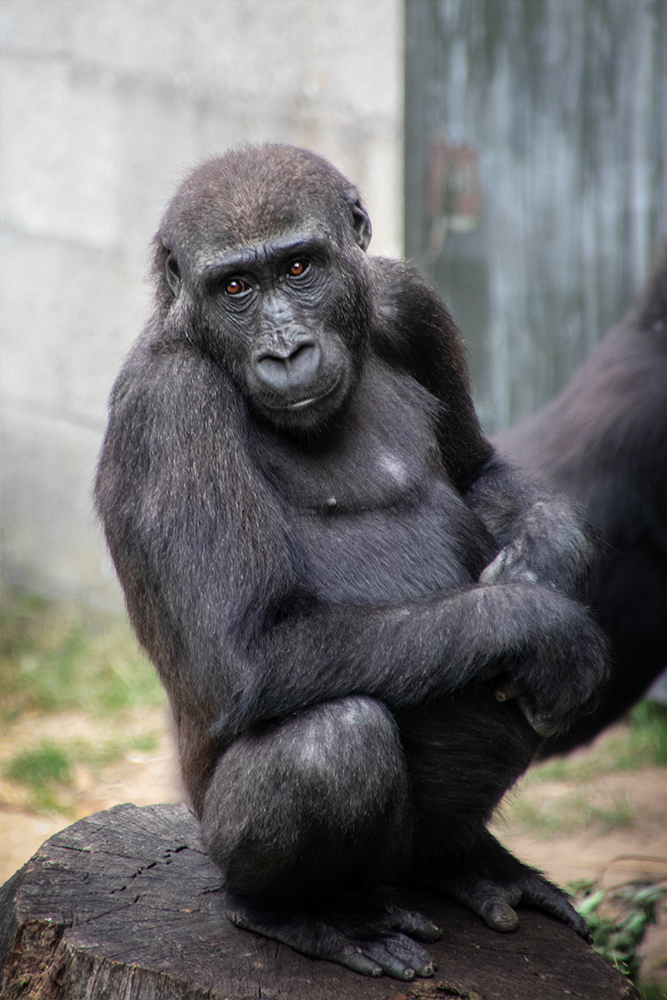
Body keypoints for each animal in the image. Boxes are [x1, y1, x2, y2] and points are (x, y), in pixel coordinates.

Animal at [95, 145, 612, 980]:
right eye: (235, 287)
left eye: (298, 266)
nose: (285, 351)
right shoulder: (168, 403)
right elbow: (244, 653)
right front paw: (539, 621)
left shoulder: (406, 299)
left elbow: (476, 468)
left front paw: (548, 553)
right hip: (222, 844)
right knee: (332, 743)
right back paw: (303, 912)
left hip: (414, 853)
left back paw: (464, 858)